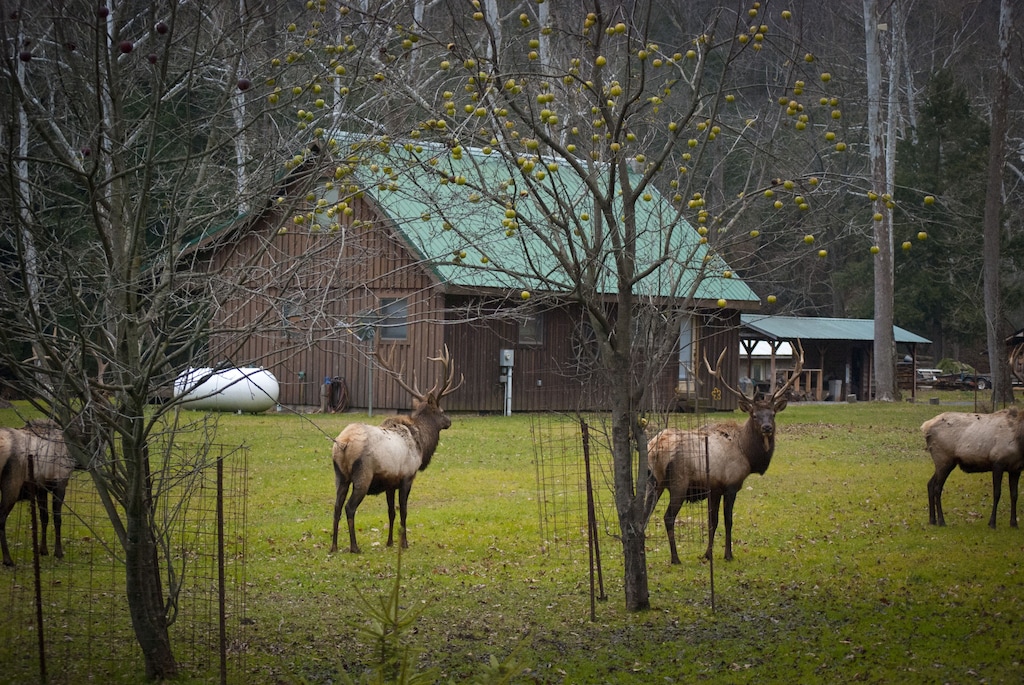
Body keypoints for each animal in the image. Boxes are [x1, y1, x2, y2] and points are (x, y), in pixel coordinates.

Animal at [0, 417, 75, 565]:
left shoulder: (41, 487)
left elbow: (44, 517)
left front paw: (43, 550)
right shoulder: (60, 482)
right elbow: (57, 518)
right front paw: (58, 552)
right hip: (11, 485)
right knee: (1, 519)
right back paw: (8, 559)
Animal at [329, 344, 462, 552]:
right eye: (441, 410)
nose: (449, 421)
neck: (422, 443)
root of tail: (343, 443)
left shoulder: (390, 482)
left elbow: (391, 511)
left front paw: (390, 542)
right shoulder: (407, 477)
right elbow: (404, 511)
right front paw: (404, 543)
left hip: (340, 476)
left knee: (336, 507)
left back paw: (334, 546)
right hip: (363, 475)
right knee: (349, 507)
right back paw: (354, 547)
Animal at [643, 339, 802, 561]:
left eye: (772, 414)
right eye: (754, 415)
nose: (767, 428)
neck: (748, 454)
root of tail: (654, 448)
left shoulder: (715, 488)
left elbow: (713, 521)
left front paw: (707, 554)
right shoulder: (731, 484)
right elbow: (727, 521)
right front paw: (728, 554)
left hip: (654, 482)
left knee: (643, 515)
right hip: (678, 483)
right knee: (667, 517)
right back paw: (675, 558)